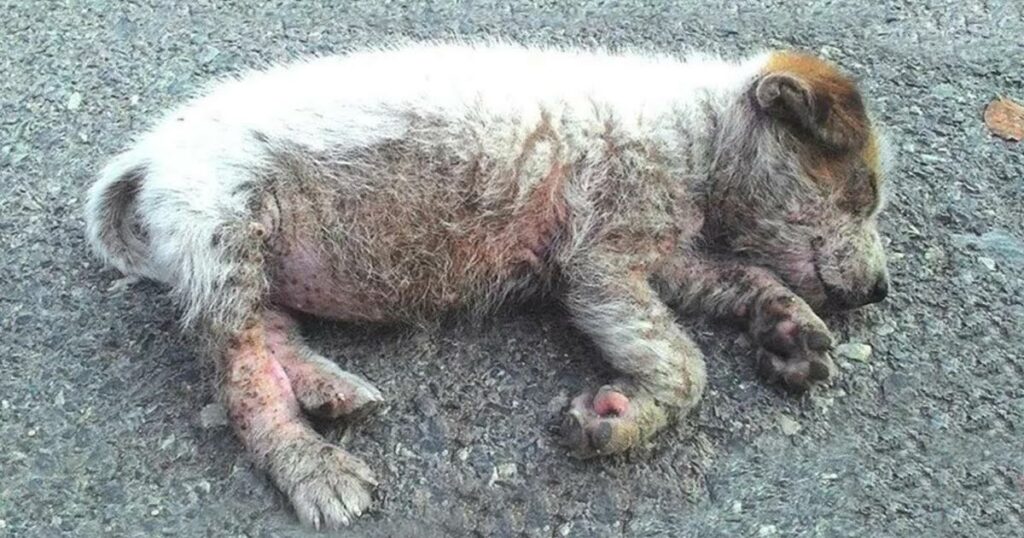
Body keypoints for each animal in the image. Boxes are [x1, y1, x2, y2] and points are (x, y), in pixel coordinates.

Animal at [86, 43, 888, 528]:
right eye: (863, 192)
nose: (881, 291)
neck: (694, 136)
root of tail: (149, 157)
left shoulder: (669, 259)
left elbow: (748, 275)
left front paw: (792, 330)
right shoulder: (600, 260)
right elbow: (685, 366)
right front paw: (620, 418)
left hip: (246, 262)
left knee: (271, 330)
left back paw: (330, 388)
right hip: (226, 237)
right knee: (242, 376)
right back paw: (312, 464)